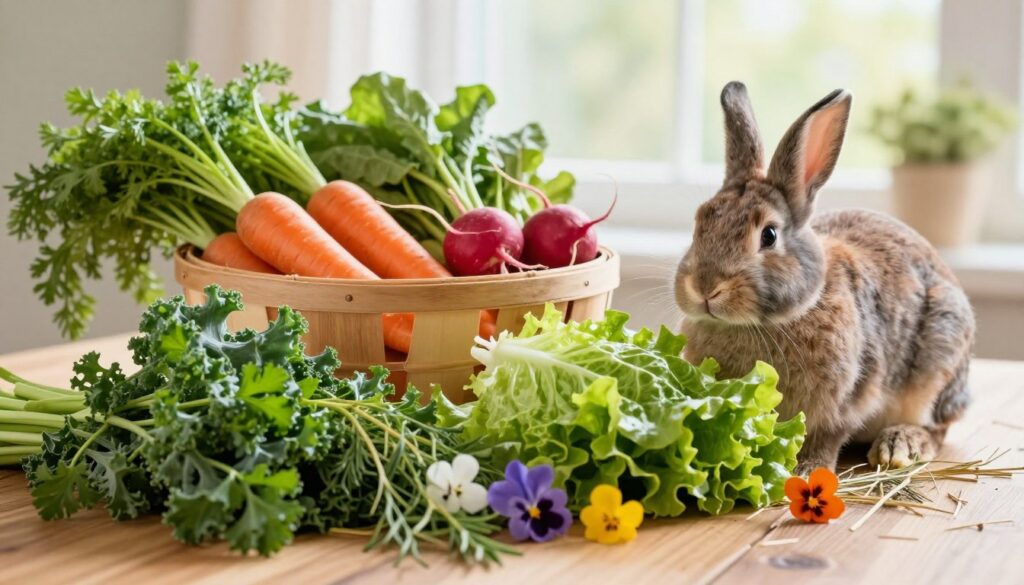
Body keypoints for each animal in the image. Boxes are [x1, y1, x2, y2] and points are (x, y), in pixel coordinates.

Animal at [674, 82, 975, 474]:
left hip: (940, 358)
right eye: (699, 222)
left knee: (939, 427)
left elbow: (826, 436)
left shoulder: (846, 401)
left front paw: (806, 469)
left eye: (769, 235)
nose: (705, 287)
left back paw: (900, 445)